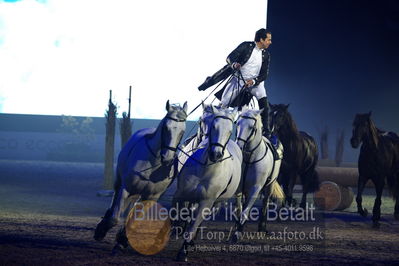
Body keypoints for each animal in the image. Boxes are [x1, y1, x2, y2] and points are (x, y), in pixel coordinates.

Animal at [173, 106, 242, 262]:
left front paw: (183, 252)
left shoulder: (206, 202)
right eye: (214, 127)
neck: (205, 168)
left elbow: (193, 225)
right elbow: (179, 214)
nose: (216, 154)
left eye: (230, 131)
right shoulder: (181, 194)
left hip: (215, 203)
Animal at [236, 107, 286, 236]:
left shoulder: (255, 187)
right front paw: (238, 228)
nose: (239, 146)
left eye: (252, 127)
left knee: (265, 202)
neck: (249, 159)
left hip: (270, 184)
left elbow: (245, 211)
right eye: (237, 123)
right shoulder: (239, 188)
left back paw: (262, 226)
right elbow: (239, 210)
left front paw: (237, 233)